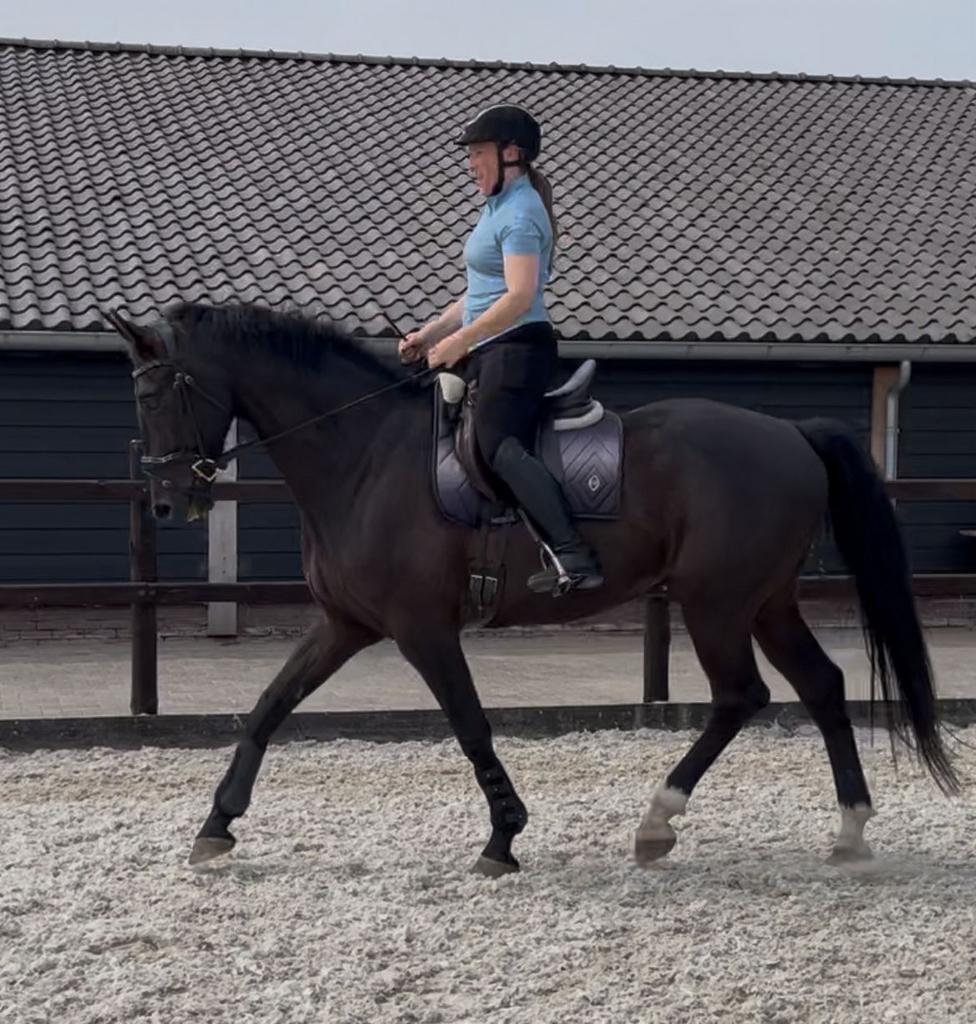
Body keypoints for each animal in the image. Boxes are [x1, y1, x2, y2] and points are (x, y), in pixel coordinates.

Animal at [108, 302, 958, 877]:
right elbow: (267, 707)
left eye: (154, 397)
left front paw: (503, 836)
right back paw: (849, 829)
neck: (363, 456)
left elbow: (471, 725)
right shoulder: (346, 624)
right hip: (765, 601)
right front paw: (216, 825)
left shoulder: (422, 628)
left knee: (741, 697)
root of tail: (790, 433)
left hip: (716, 602)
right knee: (821, 685)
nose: (165, 501)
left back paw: (658, 821)